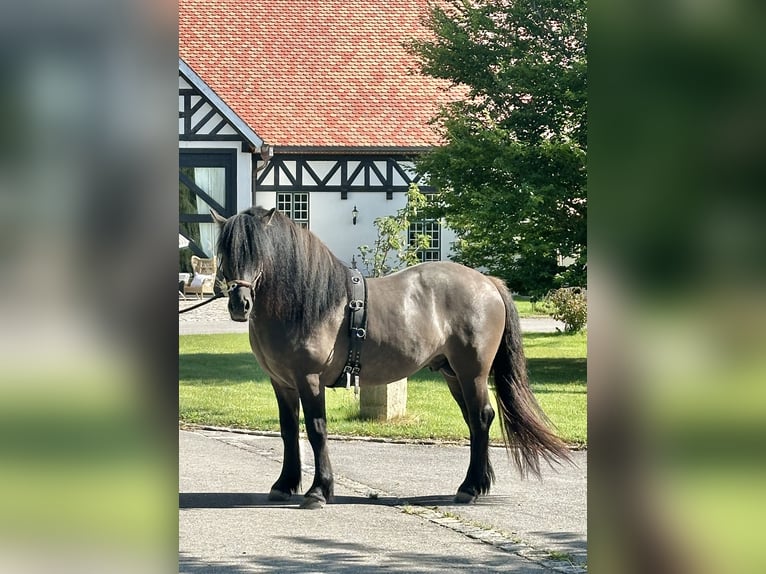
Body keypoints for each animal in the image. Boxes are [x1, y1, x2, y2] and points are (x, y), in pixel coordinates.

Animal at [213, 206, 572, 508]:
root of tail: (487, 283)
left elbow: (316, 429)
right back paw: (475, 484)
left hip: (473, 372)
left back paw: (470, 488)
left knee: (482, 417)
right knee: (474, 420)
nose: (239, 304)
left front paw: (319, 491)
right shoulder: (282, 383)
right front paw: (285, 485)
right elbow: (289, 430)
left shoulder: (309, 379)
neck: (303, 304)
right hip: (452, 373)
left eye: (259, 252)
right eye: (226, 252)